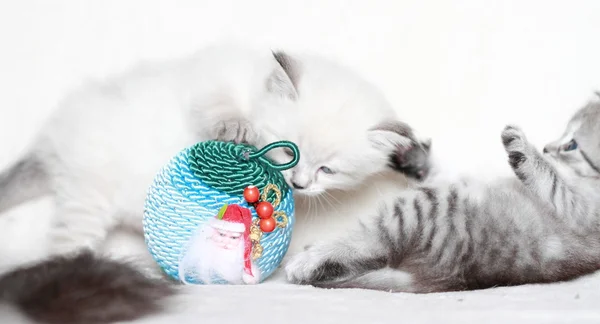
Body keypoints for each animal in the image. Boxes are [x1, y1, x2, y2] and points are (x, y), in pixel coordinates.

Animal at [0, 45, 426, 268]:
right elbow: (218, 105)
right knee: (65, 245)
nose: (299, 183)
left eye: (328, 170)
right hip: (88, 198)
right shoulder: (209, 80)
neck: (253, 92)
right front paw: (236, 128)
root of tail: (54, 136)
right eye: (288, 150)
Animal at [284, 98, 600, 292]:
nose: (547, 148)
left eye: (572, 144)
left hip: (425, 206)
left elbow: (551, 180)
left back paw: (310, 260)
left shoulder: (581, 214)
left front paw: (523, 147)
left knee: (373, 243)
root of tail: (458, 275)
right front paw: (411, 154)